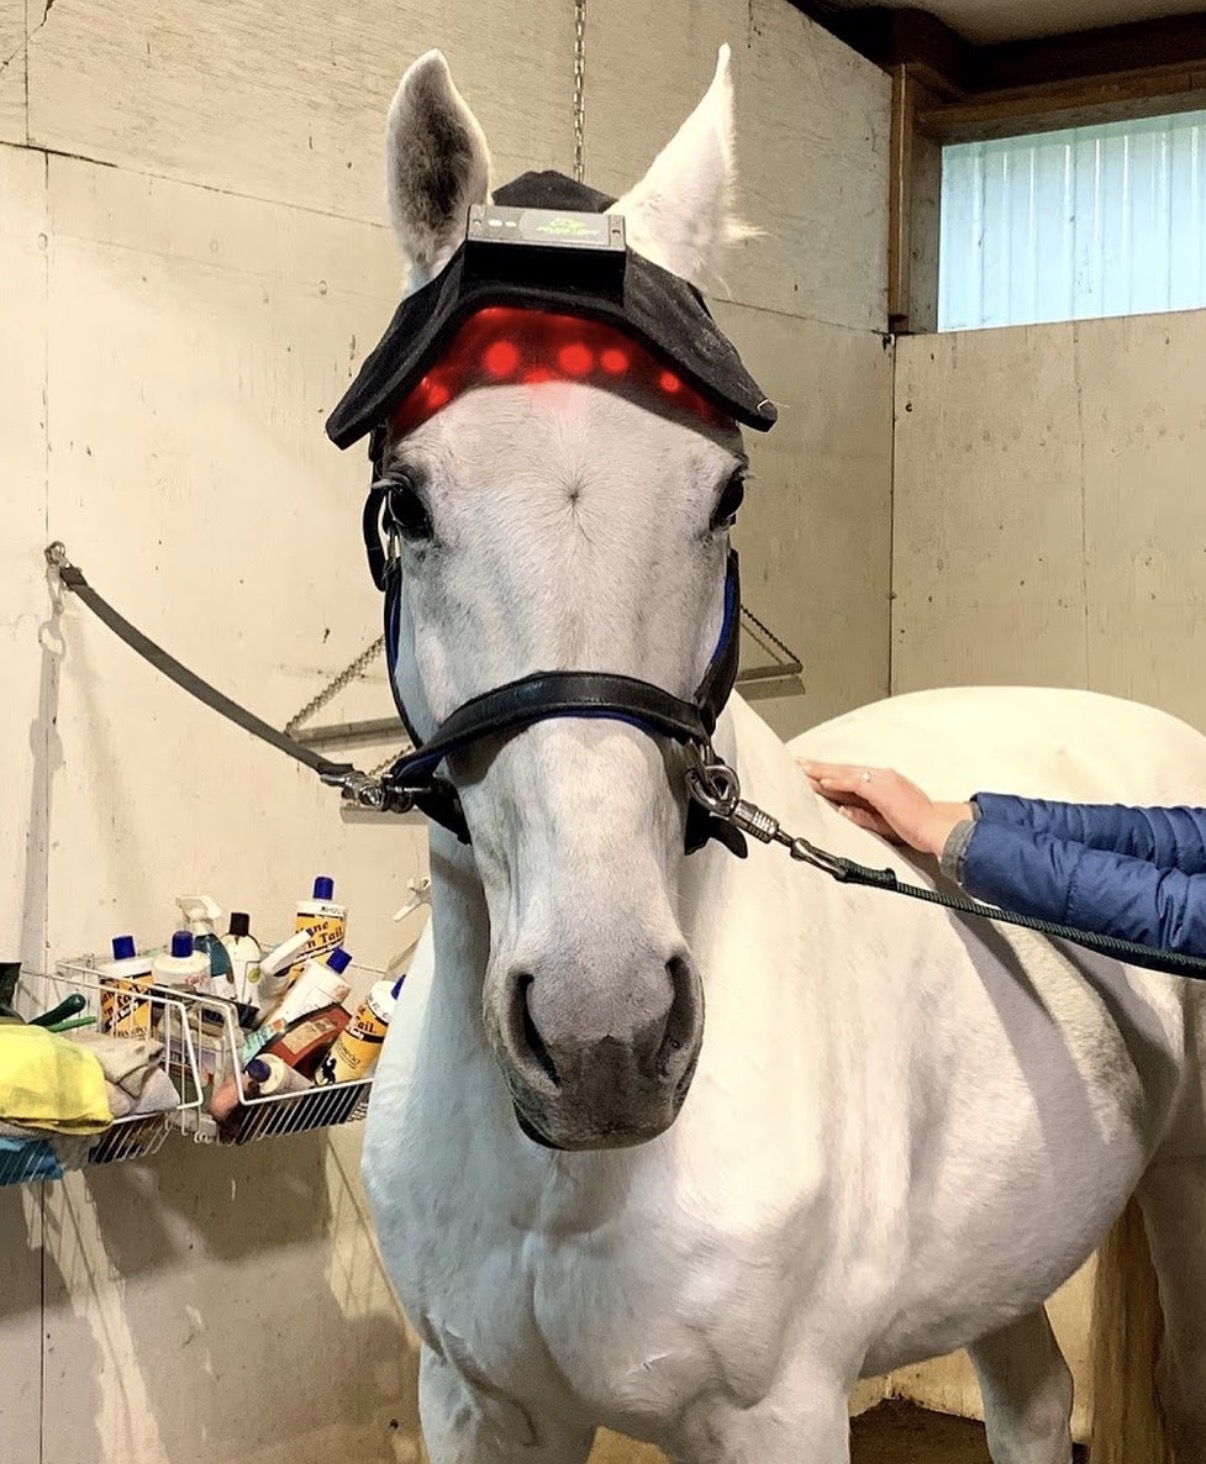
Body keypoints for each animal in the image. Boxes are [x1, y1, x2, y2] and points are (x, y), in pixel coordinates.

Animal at [357, 46, 1206, 1464]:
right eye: (406, 502)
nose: (605, 1033)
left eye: (727, 494)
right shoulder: (477, 1404)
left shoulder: (775, 1417)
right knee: (1034, 1404)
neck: (570, 1177)